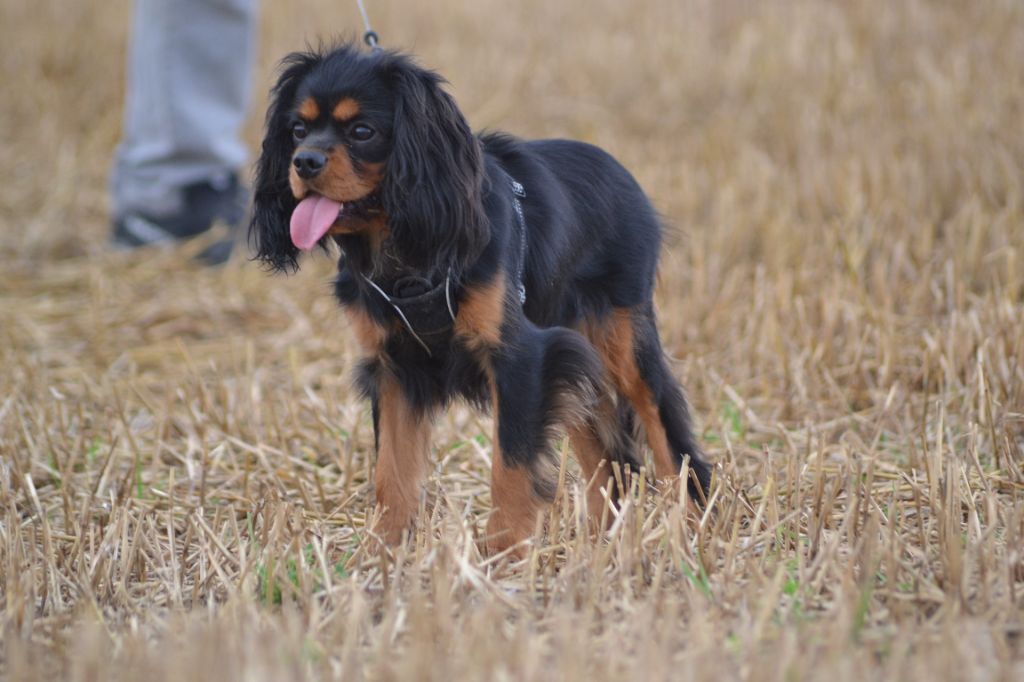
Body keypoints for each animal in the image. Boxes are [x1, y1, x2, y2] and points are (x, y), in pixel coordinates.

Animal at [249, 43, 712, 552]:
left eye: (362, 131)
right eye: (297, 129)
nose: (304, 162)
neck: (406, 252)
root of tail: (622, 174)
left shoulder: (521, 358)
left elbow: (510, 467)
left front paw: (501, 555)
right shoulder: (393, 370)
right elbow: (391, 472)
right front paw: (383, 553)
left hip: (623, 346)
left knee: (670, 442)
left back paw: (694, 533)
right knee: (607, 462)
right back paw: (596, 546)